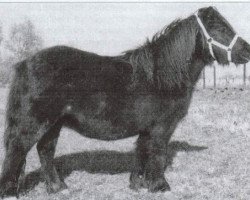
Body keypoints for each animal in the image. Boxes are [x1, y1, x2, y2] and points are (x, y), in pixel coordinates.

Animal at [0, 7, 250, 198]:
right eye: (220, 28)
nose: (247, 51)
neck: (161, 75)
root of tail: (24, 63)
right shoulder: (162, 128)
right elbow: (157, 154)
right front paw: (160, 186)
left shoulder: (147, 129)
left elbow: (141, 152)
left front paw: (138, 183)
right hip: (34, 123)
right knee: (16, 151)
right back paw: (11, 192)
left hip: (54, 124)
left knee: (45, 150)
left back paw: (58, 187)